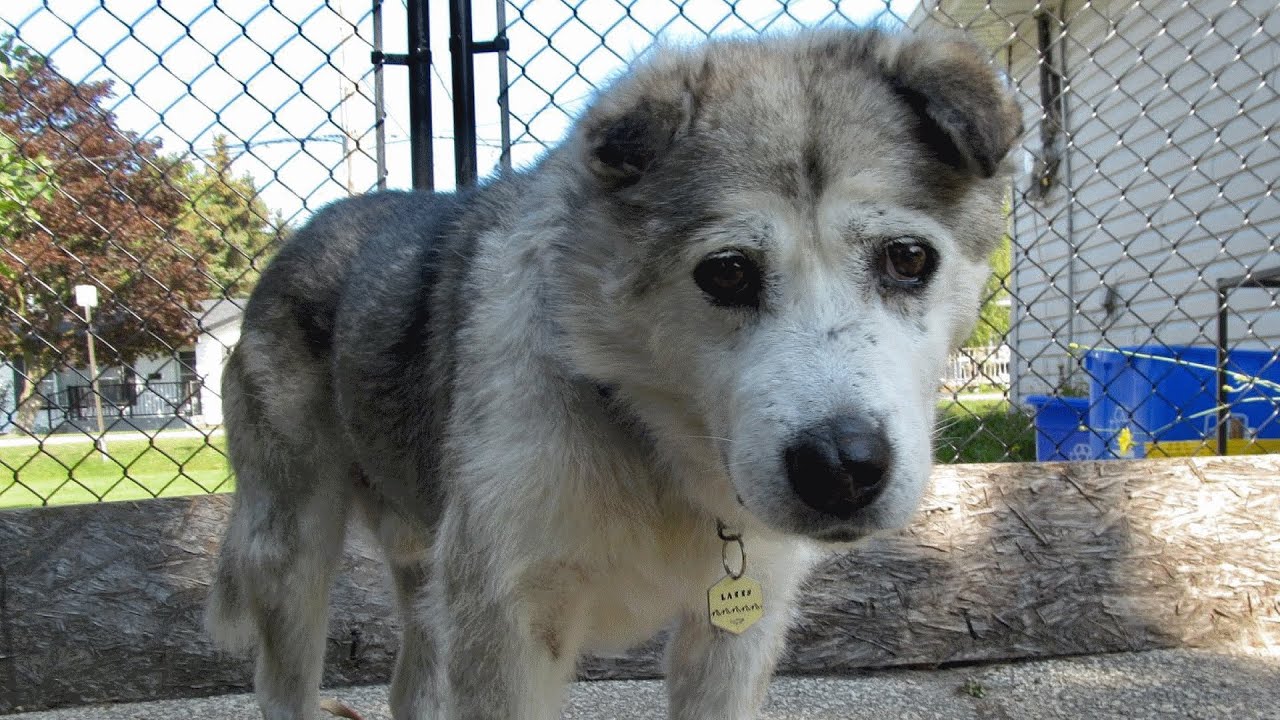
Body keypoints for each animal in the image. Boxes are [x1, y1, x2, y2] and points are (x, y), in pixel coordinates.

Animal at [204, 25, 1013, 717]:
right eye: (726, 272)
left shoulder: (735, 635)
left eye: (908, 259)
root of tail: (306, 234)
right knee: (285, 683)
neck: (647, 443)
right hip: (291, 550)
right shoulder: (506, 625)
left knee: (412, 687)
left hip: (423, 566)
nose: (842, 466)